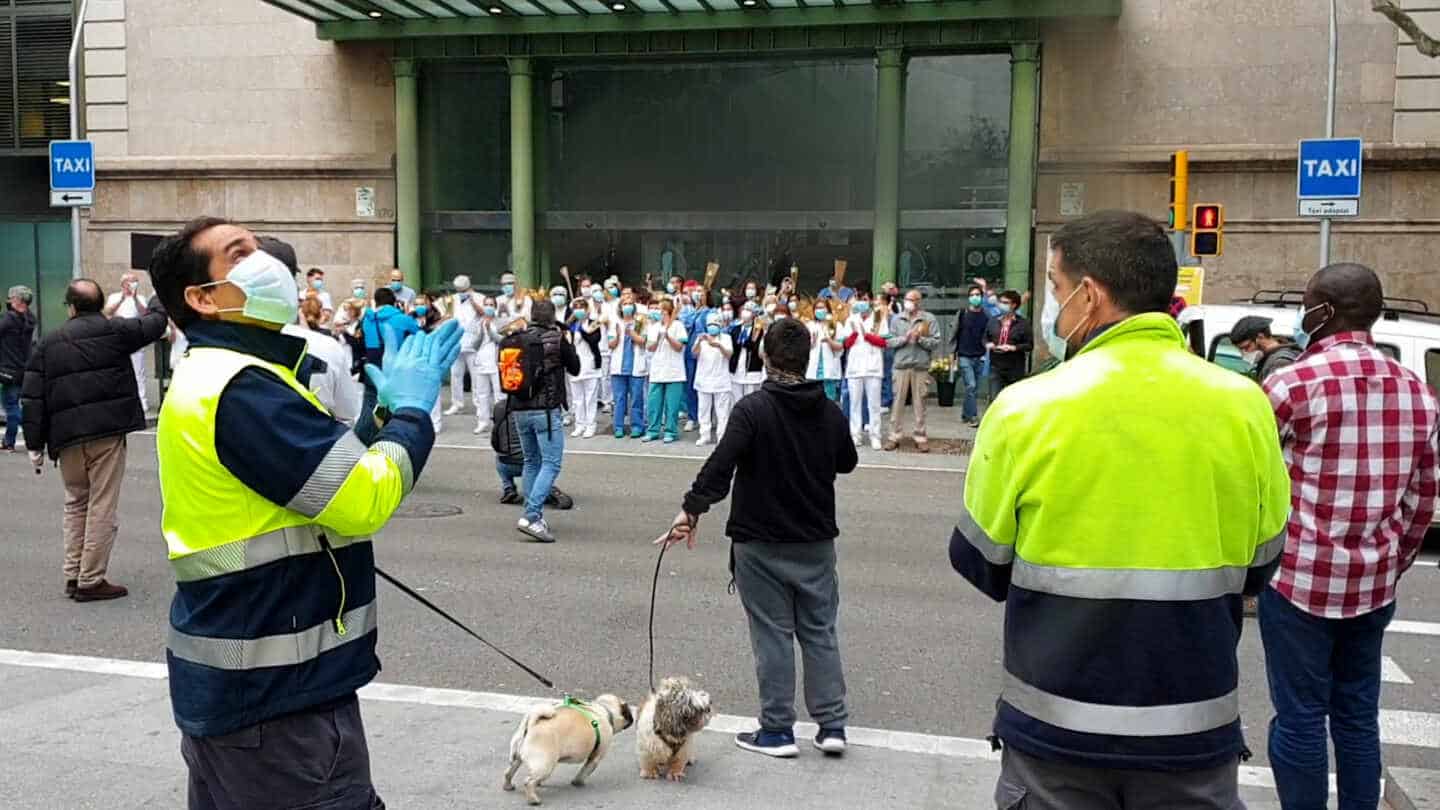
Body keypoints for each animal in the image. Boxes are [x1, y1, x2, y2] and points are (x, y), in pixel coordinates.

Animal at [504, 694, 633, 801]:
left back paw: (508, 786)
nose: (632, 719)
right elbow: (584, 771)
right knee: (528, 782)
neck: (604, 710)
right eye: (629, 714)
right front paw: (577, 782)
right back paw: (533, 800)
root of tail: (531, 725)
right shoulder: (595, 758)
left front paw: (540, 784)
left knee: (509, 773)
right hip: (545, 765)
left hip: (517, 759)